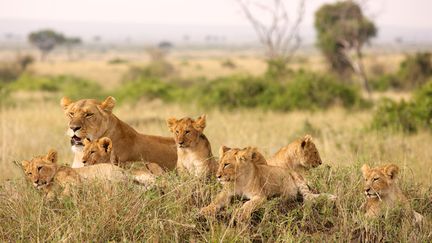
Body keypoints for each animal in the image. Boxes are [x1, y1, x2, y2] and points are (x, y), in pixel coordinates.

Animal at [200, 145, 338, 221]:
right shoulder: (226, 193)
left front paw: (241, 213)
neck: (238, 179)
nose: (217, 176)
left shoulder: (260, 196)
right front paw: (206, 210)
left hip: (297, 178)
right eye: (220, 164)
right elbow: (216, 201)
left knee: (307, 197)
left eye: (227, 164)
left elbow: (248, 204)